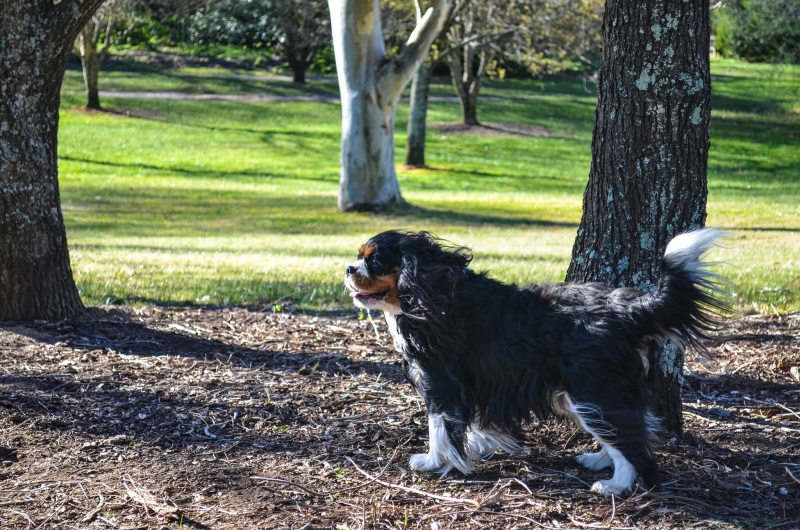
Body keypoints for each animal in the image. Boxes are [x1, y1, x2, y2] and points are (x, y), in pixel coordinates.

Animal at [342, 228, 724, 496]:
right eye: (358, 256)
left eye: (374, 261)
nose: (348, 267)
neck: (429, 292)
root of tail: (624, 310)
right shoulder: (482, 382)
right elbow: (475, 423)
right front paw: (477, 448)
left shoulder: (442, 383)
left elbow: (439, 426)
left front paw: (433, 462)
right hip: (595, 392)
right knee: (628, 427)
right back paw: (599, 460)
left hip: (593, 389)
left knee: (630, 439)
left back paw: (616, 485)